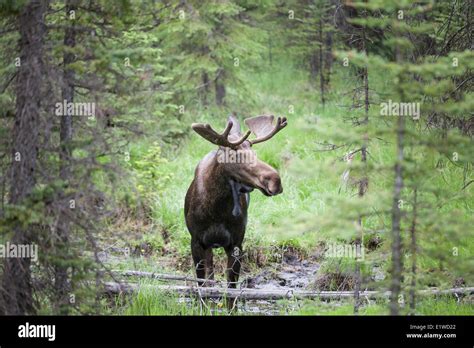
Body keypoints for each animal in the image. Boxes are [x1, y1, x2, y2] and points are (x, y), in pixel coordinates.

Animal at [183, 113, 286, 308]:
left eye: (254, 151)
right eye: (233, 153)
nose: (275, 180)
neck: (216, 211)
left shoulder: (236, 243)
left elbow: (231, 290)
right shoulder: (196, 240)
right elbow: (201, 286)